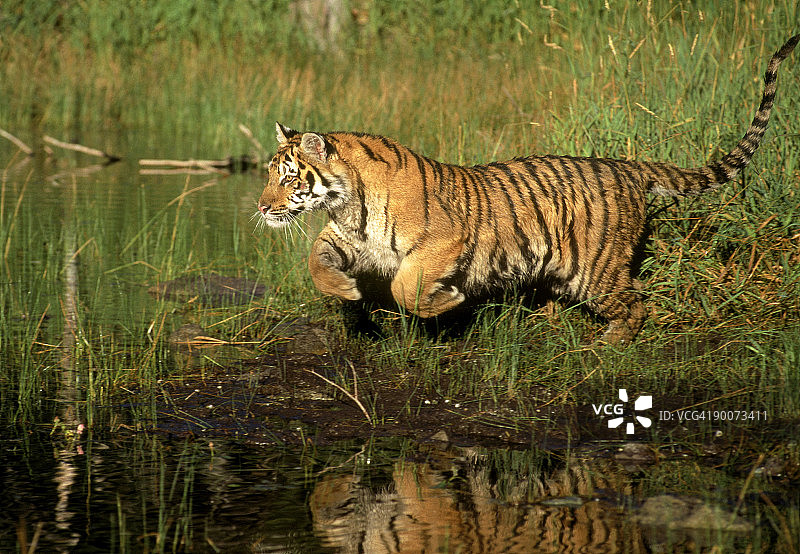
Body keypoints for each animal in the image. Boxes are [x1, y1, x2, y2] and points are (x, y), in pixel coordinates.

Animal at [257, 35, 798, 344]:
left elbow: (405, 285)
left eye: (287, 177)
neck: (348, 204)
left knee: (637, 302)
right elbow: (316, 261)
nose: (262, 208)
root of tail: (626, 166)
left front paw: (446, 301)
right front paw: (345, 289)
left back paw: (608, 346)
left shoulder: (445, 240)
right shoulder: (344, 238)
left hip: (597, 268)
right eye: (268, 174)